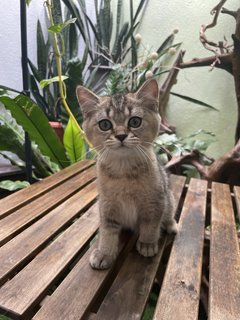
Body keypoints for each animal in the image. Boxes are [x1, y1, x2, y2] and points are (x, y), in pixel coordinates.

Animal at [76, 79, 177, 268]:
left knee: (169, 214)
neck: (124, 174)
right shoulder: (107, 205)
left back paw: (171, 224)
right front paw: (104, 252)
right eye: (105, 124)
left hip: (169, 198)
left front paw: (147, 243)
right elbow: (107, 231)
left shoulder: (155, 202)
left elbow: (151, 225)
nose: (121, 135)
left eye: (135, 121)